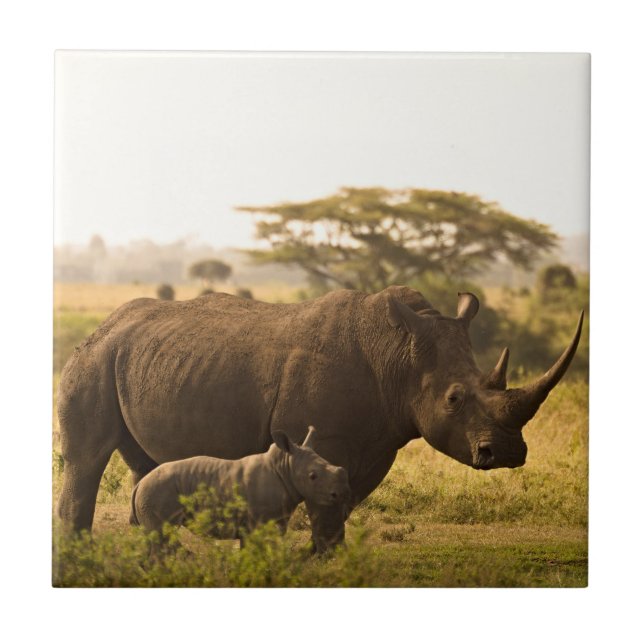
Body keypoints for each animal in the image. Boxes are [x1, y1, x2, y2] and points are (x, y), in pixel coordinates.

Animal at [131, 426, 350, 545]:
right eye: (313, 476)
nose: (341, 494)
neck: (284, 466)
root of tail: (140, 483)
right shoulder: (260, 522)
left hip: (154, 490)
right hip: (157, 491)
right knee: (161, 537)